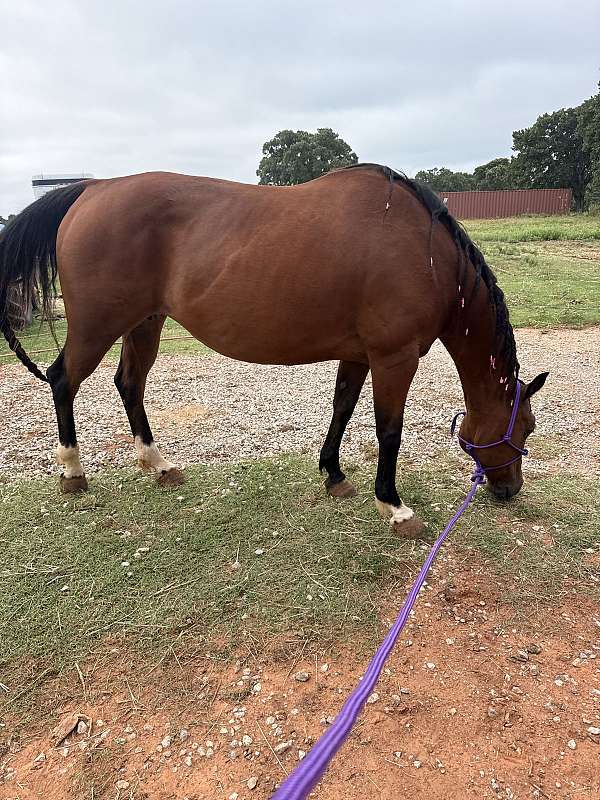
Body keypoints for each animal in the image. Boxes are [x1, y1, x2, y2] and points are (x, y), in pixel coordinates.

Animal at [0, 164, 548, 527]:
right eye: (526, 427)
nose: (510, 490)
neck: (428, 253)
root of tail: (94, 189)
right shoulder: (395, 357)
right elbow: (388, 430)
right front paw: (393, 505)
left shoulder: (358, 354)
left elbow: (342, 409)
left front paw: (334, 475)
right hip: (97, 326)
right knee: (63, 380)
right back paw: (73, 472)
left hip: (144, 325)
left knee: (128, 383)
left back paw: (159, 466)